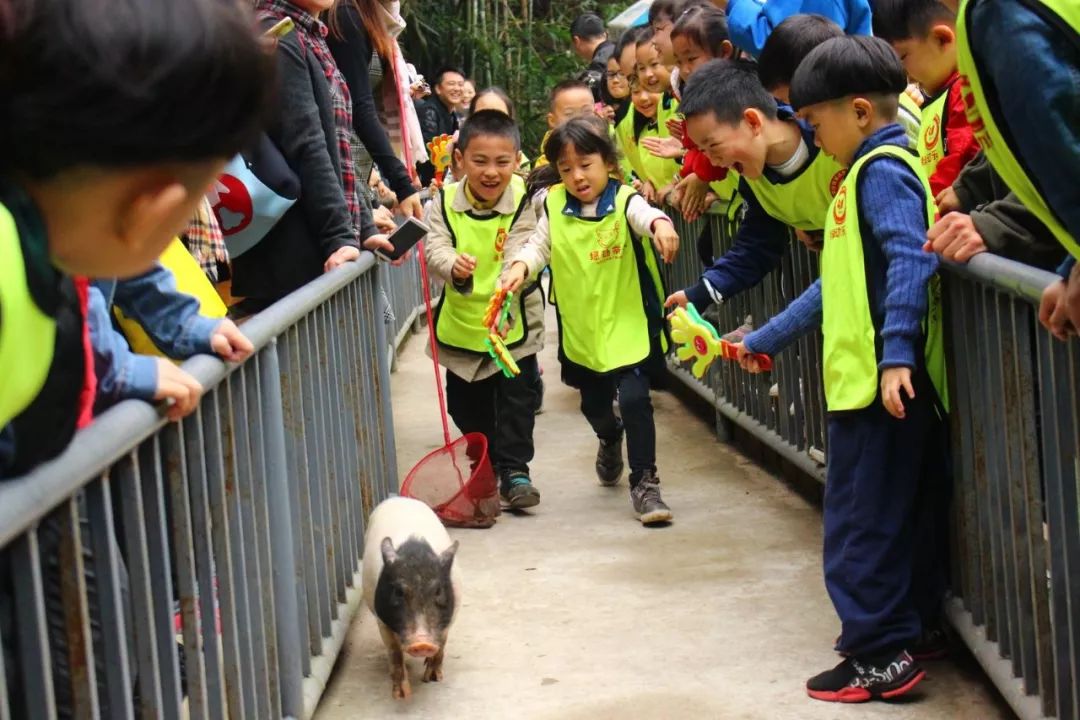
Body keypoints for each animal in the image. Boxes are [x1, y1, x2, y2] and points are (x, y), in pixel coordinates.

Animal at [362, 496, 460, 699]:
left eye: (438, 591)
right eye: (399, 592)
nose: (422, 643)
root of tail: (398, 497)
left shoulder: (452, 614)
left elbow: (442, 643)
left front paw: (433, 679)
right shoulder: (381, 619)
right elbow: (394, 652)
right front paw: (401, 696)